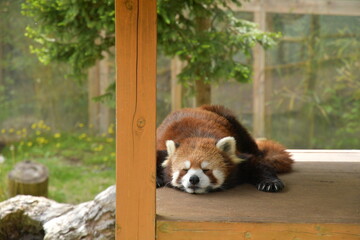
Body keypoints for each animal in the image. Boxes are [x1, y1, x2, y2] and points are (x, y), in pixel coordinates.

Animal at [156, 105, 294, 193]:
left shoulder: (239, 157)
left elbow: (257, 163)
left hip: (232, 121)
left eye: (206, 170)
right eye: (184, 170)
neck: (197, 136)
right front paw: (157, 180)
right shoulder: (163, 152)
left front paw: (270, 183)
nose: (194, 179)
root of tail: (197, 107)